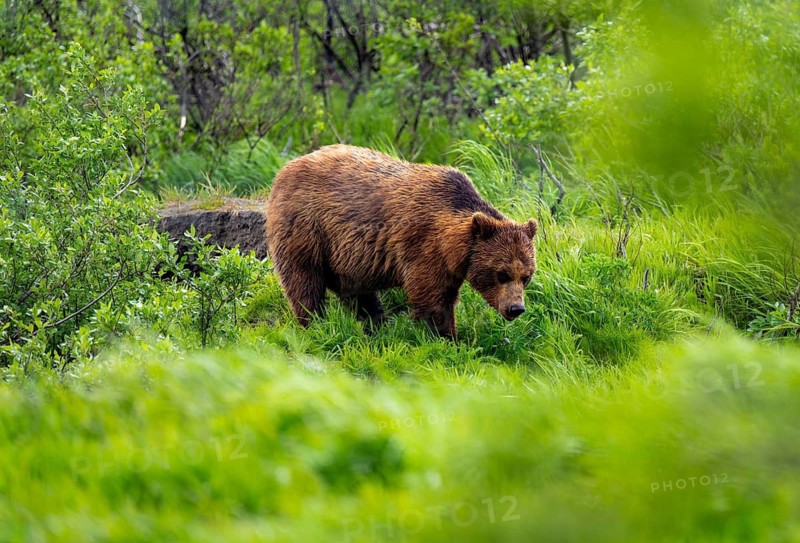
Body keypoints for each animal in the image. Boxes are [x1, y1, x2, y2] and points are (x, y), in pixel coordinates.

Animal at [266, 144, 538, 338]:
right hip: (308, 228)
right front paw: (446, 337)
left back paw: (375, 323)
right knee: (305, 281)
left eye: (526, 276)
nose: (516, 308)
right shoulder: (423, 245)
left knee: (357, 292)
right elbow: (432, 298)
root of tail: (284, 170)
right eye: (501, 274)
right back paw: (315, 322)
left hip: (345, 255)